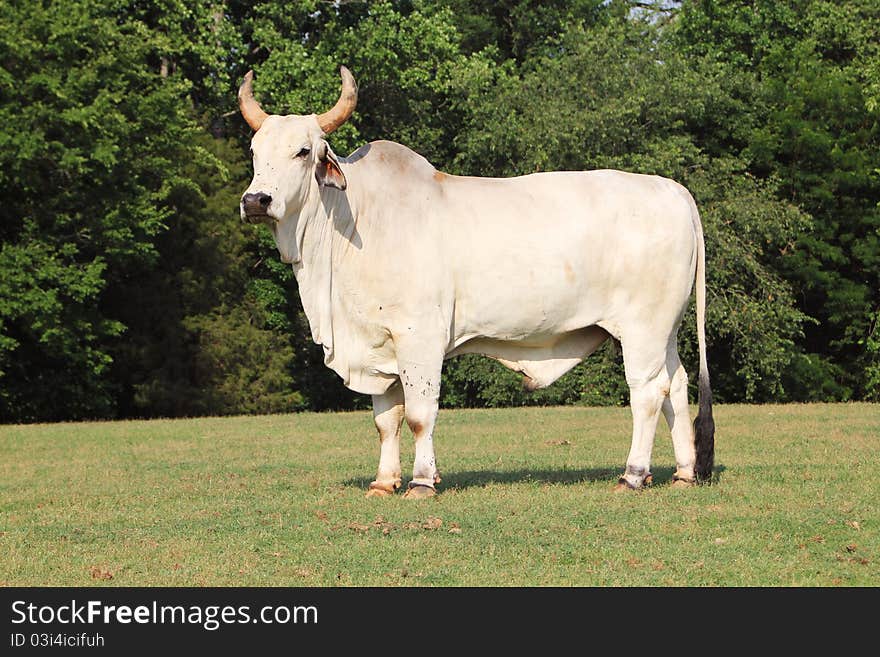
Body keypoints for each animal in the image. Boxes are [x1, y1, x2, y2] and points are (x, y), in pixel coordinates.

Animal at [237, 66, 712, 498]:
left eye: (303, 151)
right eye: (255, 151)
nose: (256, 200)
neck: (359, 222)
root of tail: (672, 190)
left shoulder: (419, 337)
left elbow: (419, 415)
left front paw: (421, 481)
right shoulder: (379, 341)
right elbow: (386, 420)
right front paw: (384, 482)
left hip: (642, 328)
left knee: (647, 393)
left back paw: (632, 475)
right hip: (664, 330)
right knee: (677, 386)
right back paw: (684, 472)